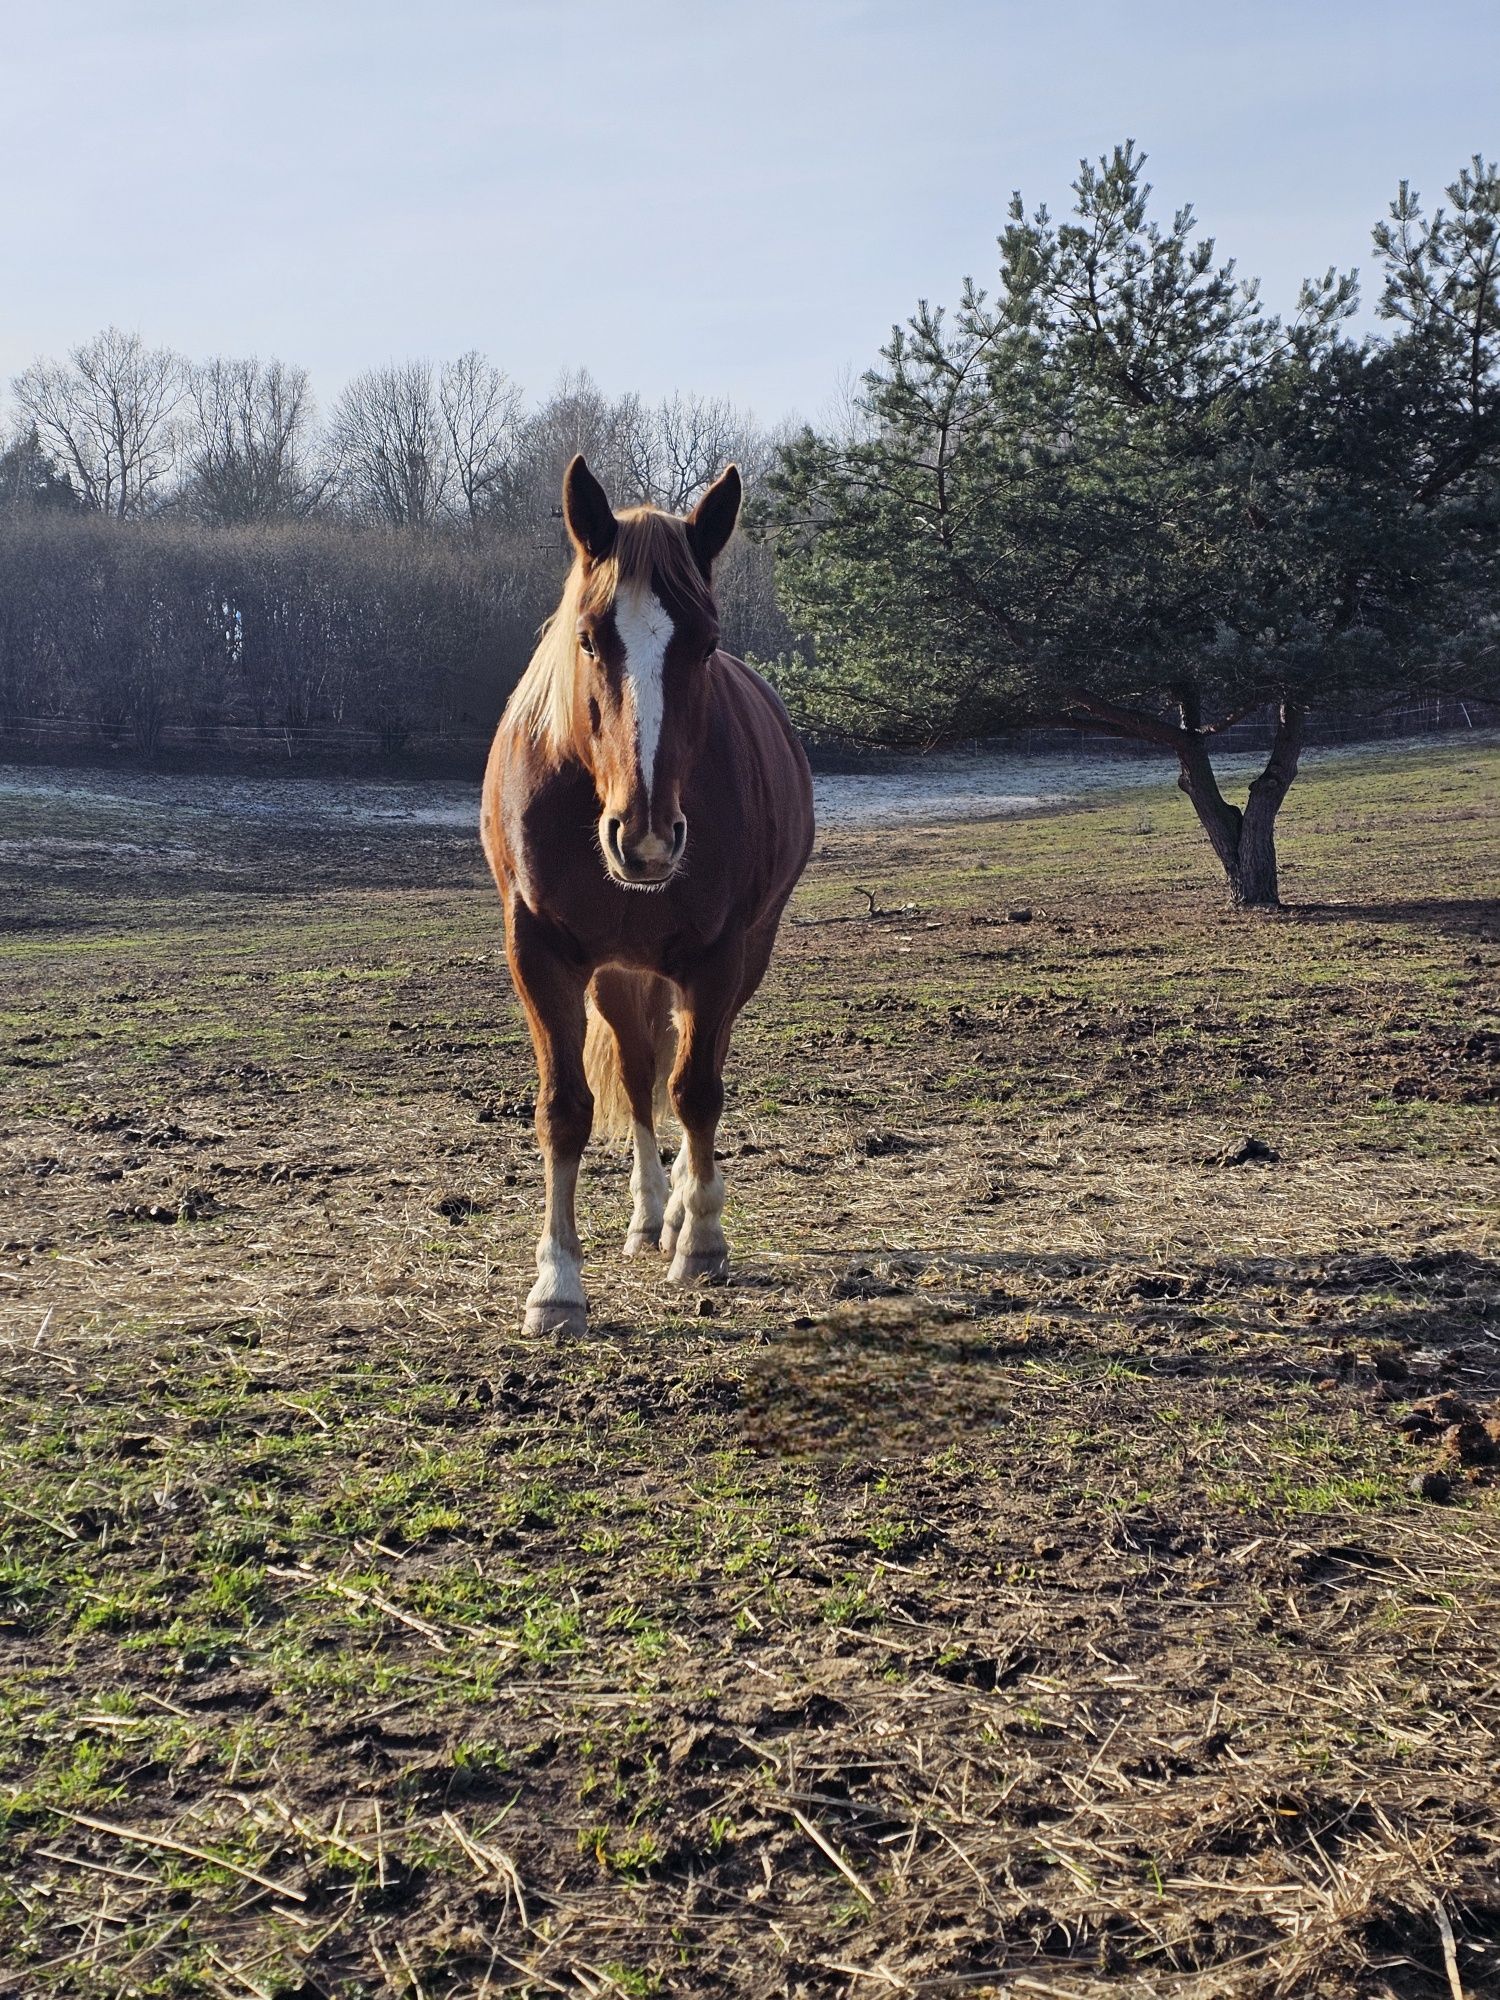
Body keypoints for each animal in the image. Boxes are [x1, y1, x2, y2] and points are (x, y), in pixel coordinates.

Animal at [482, 454, 816, 1328]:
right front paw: (557, 1284)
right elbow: (565, 1109)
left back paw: (682, 1215)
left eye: (707, 643)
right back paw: (646, 1213)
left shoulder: (718, 955)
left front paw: (701, 1243)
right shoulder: (541, 953)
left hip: (731, 961)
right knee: (636, 1077)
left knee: (683, 1072)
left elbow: (696, 1090)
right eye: (589, 637)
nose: (647, 838)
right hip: (618, 975)